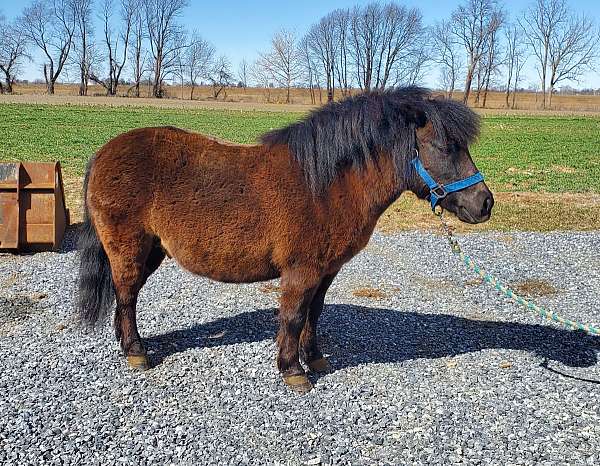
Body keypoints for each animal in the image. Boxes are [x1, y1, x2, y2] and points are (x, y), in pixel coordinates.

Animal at [77, 87, 494, 394]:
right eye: (445, 147)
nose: (484, 203)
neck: (325, 185)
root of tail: (103, 153)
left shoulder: (325, 271)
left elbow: (313, 313)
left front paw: (316, 358)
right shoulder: (301, 271)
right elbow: (293, 317)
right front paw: (293, 371)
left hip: (152, 251)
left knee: (126, 295)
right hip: (129, 247)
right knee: (126, 294)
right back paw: (136, 352)